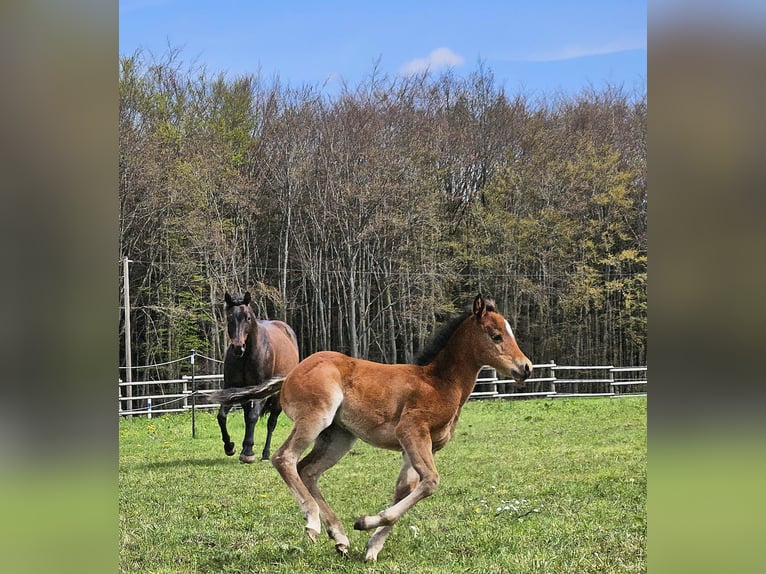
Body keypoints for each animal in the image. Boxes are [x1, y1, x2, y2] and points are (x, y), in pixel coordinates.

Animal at [218, 294, 302, 466]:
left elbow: (253, 417)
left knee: (271, 423)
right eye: (229, 318)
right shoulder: (232, 390)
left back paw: (265, 454)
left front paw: (248, 453)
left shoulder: (261, 394)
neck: (246, 357)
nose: (238, 348)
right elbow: (222, 416)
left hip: (276, 399)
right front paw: (230, 447)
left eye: (248, 318)